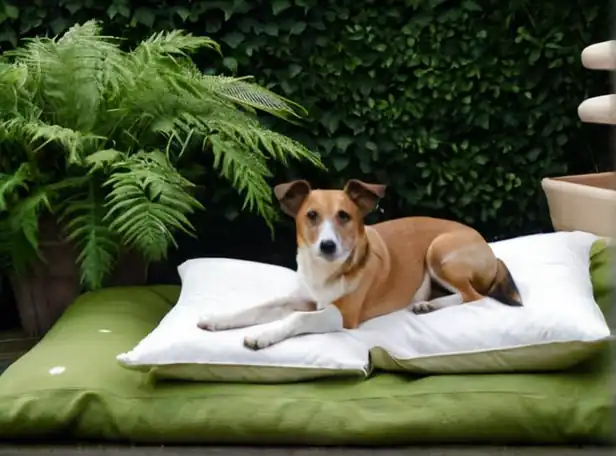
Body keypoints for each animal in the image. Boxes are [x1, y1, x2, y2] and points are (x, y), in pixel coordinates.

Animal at [196, 180, 520, 350]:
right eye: (311, 215)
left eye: (344, 216)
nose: (327, 246)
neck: (326, 272)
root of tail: (488, 248)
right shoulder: (302, 298)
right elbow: (255, 308)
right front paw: (216, 319)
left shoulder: (342, 314)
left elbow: (298, 319)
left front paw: (262, 336)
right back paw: (426, 303)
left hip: (438, 250)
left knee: (473, 296)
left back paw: (429, 305)